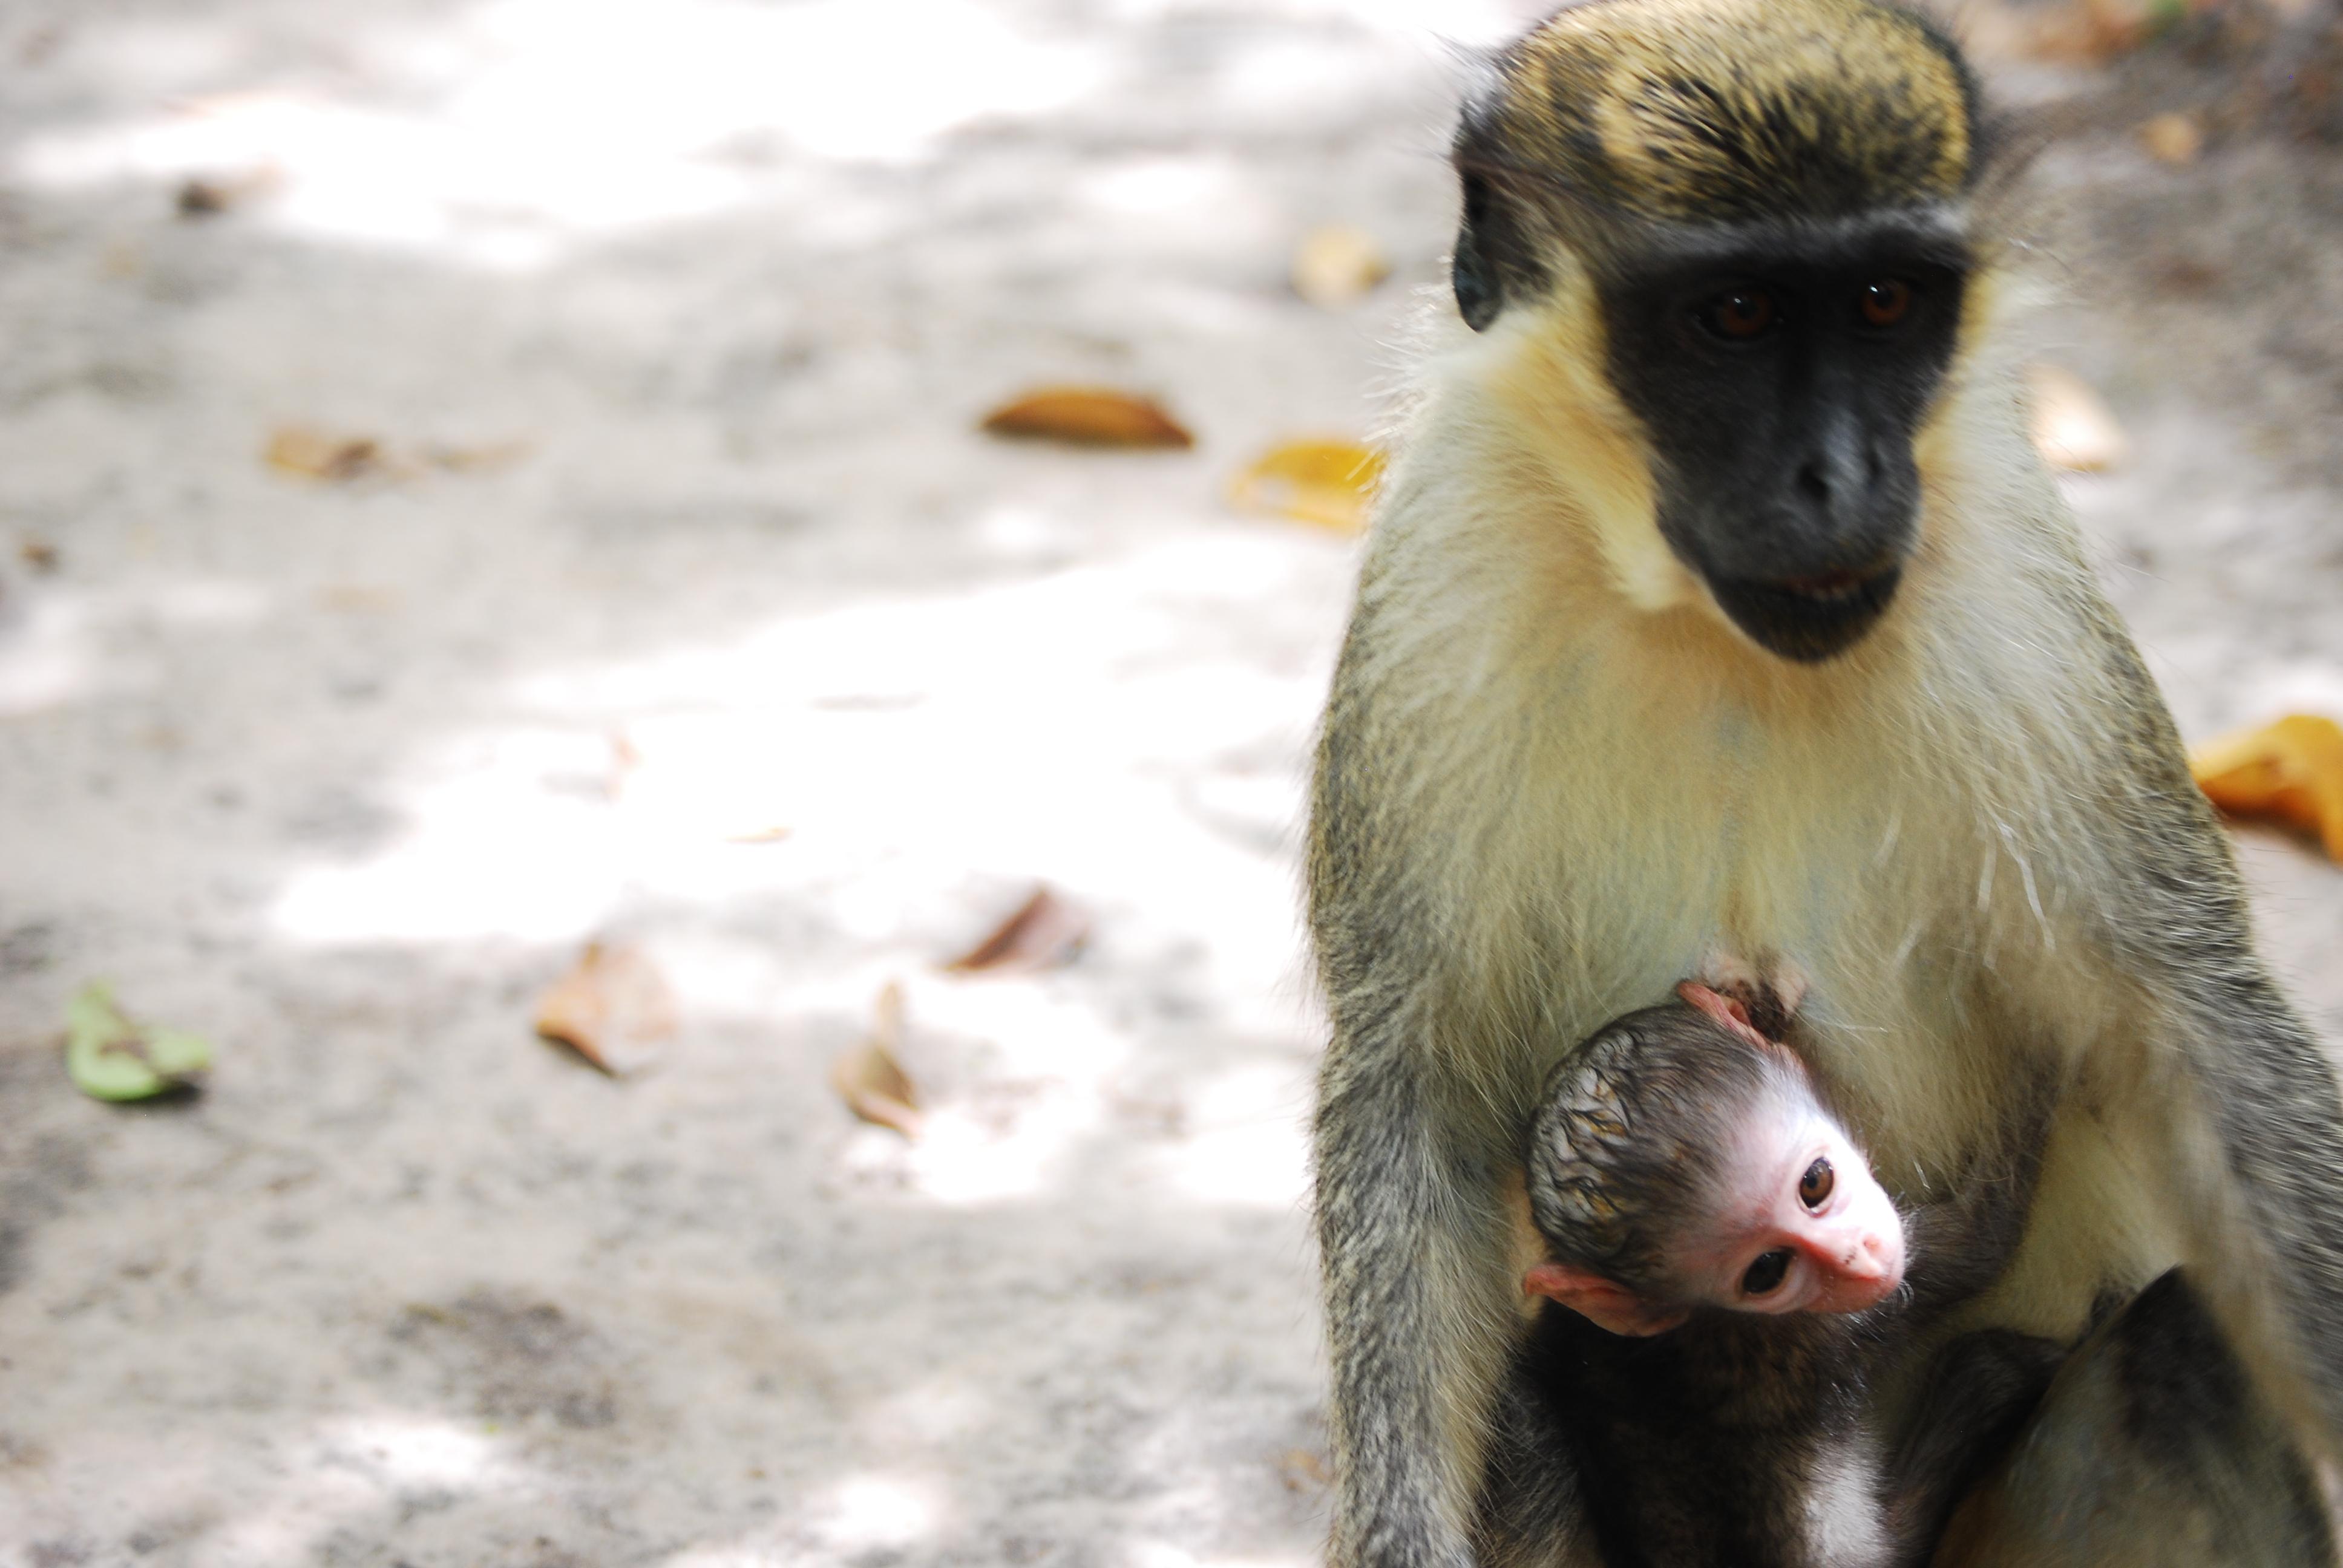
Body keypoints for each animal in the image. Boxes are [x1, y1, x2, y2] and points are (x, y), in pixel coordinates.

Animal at [1481, 984, 2071, 1566]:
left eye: (1816, 1182)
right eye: (1766, 1271)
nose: (1858, 1260)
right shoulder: (1836, 1322)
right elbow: (1985, 1239)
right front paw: (2038, 1058)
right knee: (1981, 1374)